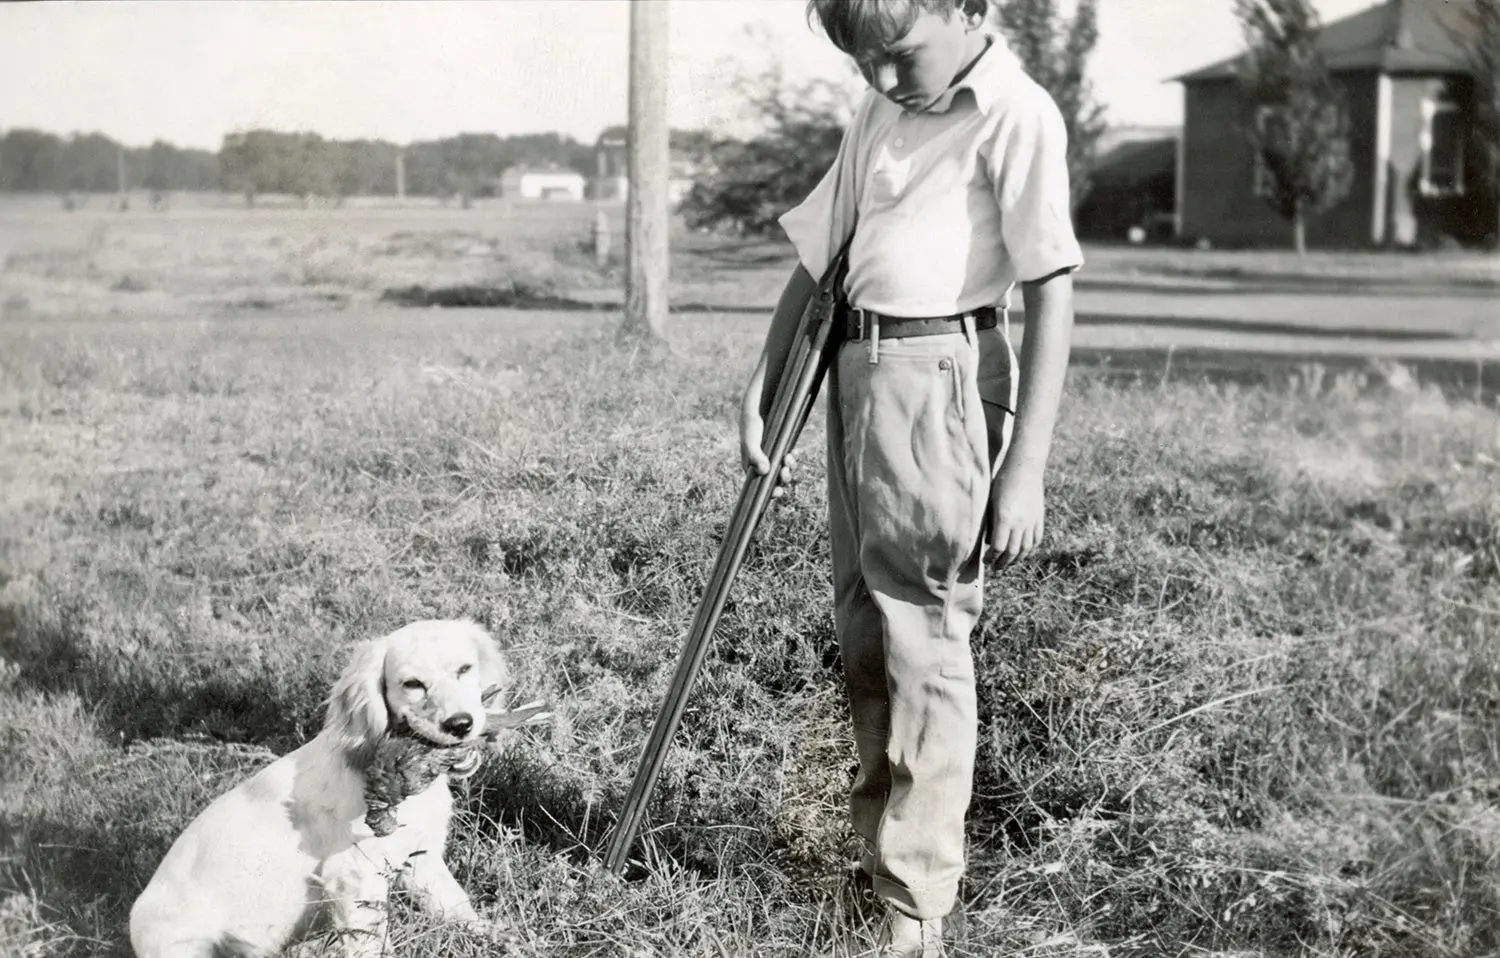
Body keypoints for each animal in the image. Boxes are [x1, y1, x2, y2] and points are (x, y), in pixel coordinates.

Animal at [129, 617, 504, 953]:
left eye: (464, 669)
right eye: (412, 684)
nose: (460, 724)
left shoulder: (421, 860)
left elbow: (458, 906)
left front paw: (498, 939)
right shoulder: (353, 877)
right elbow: (372, 944)